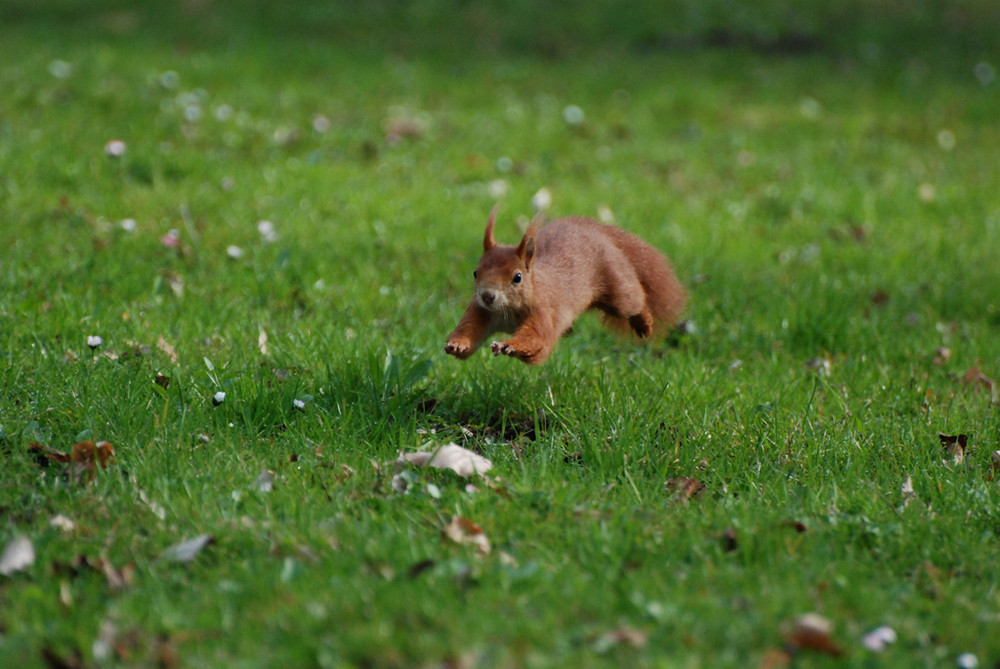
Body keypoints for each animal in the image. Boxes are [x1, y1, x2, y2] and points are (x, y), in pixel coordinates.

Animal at [446, 209, 688, 366]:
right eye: (475, 272)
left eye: (517, 277)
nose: (487, 296)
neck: (508, 312)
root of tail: (595, 232)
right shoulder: (480, 312)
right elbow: (469, 333)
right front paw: (457, 344)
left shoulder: (543, 314)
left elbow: (536, 339)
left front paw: (509, 345)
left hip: (618, 289)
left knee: (635, 300)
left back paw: (644, 323)